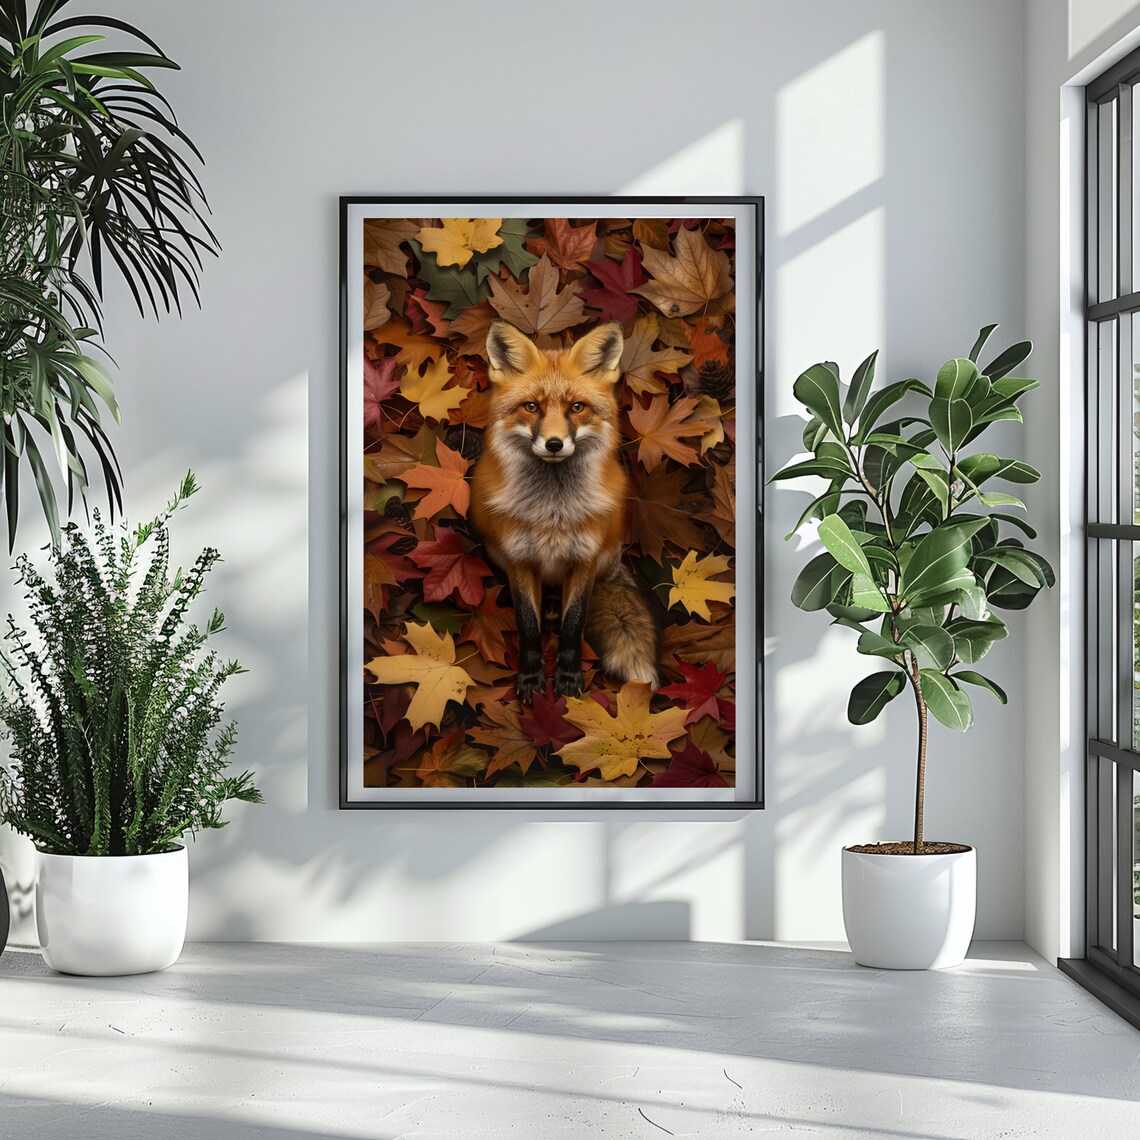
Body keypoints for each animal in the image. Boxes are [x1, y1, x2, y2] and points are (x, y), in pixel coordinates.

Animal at [470, 319, 661, 702]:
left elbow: (574, 625)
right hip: (496, 552)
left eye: (576, 407)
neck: (553, 514)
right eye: (531, 407)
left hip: (604, 556)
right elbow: (527, 626)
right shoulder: (518, 560)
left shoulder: (584, 559)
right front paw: (531, 677)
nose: (554, 444)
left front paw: (569, 677)